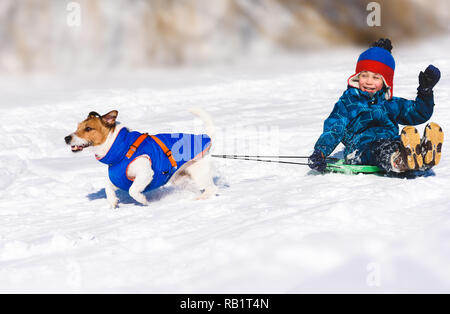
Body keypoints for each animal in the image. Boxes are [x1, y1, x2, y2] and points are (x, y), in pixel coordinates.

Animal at [64, 108, 217, 209]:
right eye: (77, 127)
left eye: (88, 128)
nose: (66, 138)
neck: (121, 148)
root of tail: (205, 138)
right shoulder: (119, 178)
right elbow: (108, 187)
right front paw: (113, 202)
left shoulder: (145, 174)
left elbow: (133, 190)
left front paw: (143, 200)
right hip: (180, 179)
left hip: (199, 173)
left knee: (212, 189)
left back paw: (200, 198)